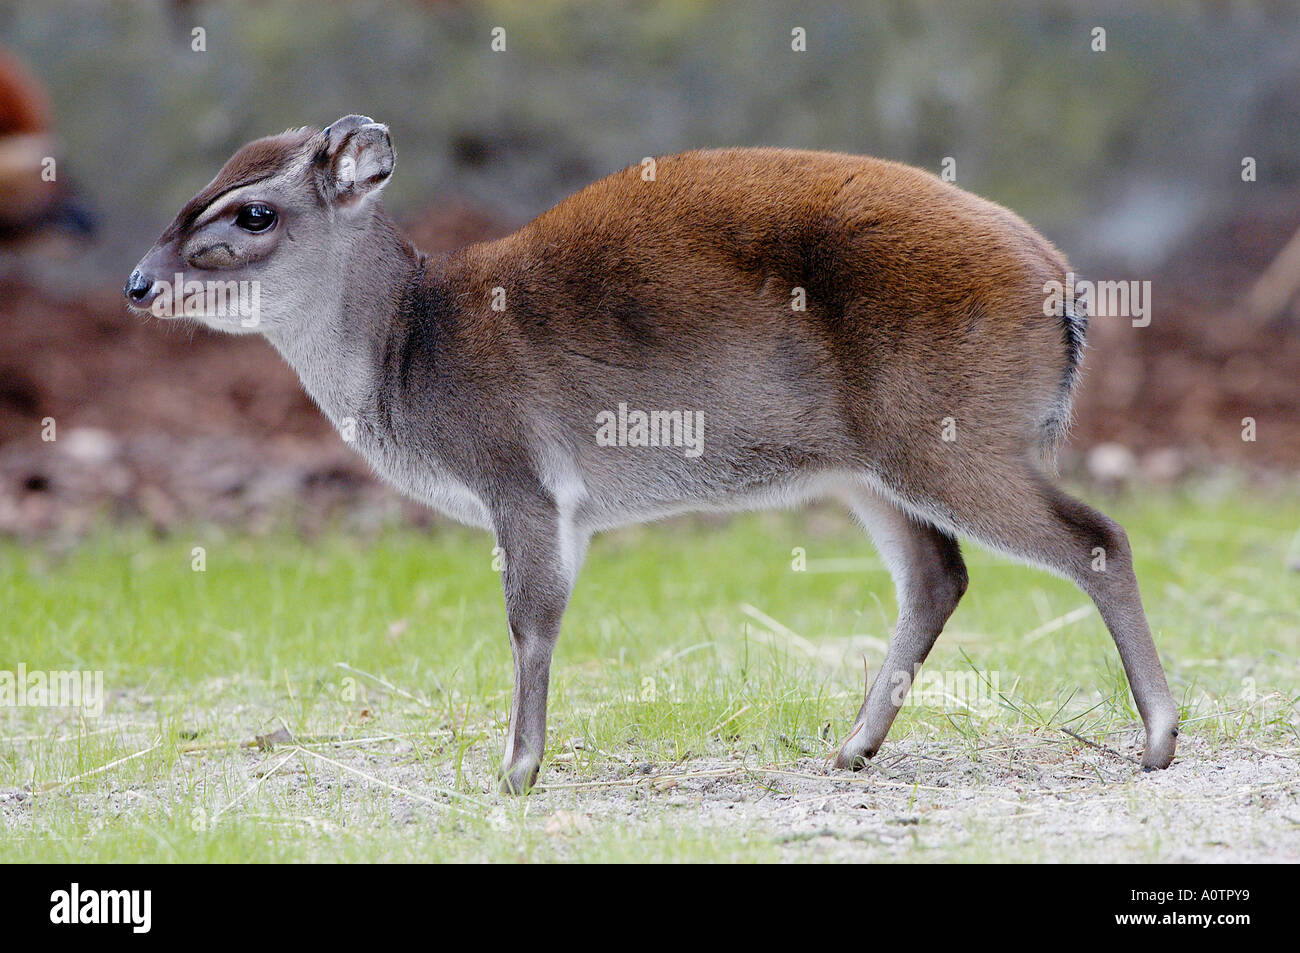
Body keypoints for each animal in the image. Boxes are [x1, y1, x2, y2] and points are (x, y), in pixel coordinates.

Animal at [129, 117, 1180, 790]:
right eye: (195, 194)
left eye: (252, 213)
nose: (139, 283)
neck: (413, 350)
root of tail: (1067, 290)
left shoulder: (521, 475)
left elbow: (532, 621)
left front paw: (515, 770)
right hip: (871, 465)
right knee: (938, 573)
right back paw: (851, 747)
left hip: (954, 434)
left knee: (1096, 536)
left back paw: (1159, 737)